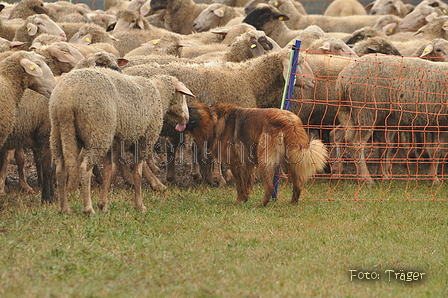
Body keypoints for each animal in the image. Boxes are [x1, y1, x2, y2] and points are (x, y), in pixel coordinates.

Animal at [50, 68, 194, 213]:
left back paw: (64, 208)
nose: (187, 119)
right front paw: (140, 205)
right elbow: (137, 173)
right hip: (98, 132)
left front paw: (103, 204)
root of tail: (67, 97)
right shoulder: (143, 141)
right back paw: (88, 209)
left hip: (60, 132)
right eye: (183, 96)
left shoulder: (116, 144)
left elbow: (108, 171)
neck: (159, 96)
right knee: (85, 168)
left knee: (60, 168)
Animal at [186, 101, 328, 206]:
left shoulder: (236, 163)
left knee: (270, 187)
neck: (214, 120)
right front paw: (245, 199)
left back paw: (261, 205)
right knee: (297, 184)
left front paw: (239, 201)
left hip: (264, 161)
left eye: (190, 109)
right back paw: (292, 203)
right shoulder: (247, 164)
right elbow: (247, 182)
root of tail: (289, 120)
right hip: (293, 159)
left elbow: (239, 185)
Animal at [334, 53, 448, 184]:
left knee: (339, 135)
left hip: (349, 113)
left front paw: (432, 178)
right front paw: (435, 179)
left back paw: (338, 172)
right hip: (366, 112)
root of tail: (344, 77)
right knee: (356, 143)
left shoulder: (438, 123)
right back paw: (366, 179)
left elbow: (437, 150)